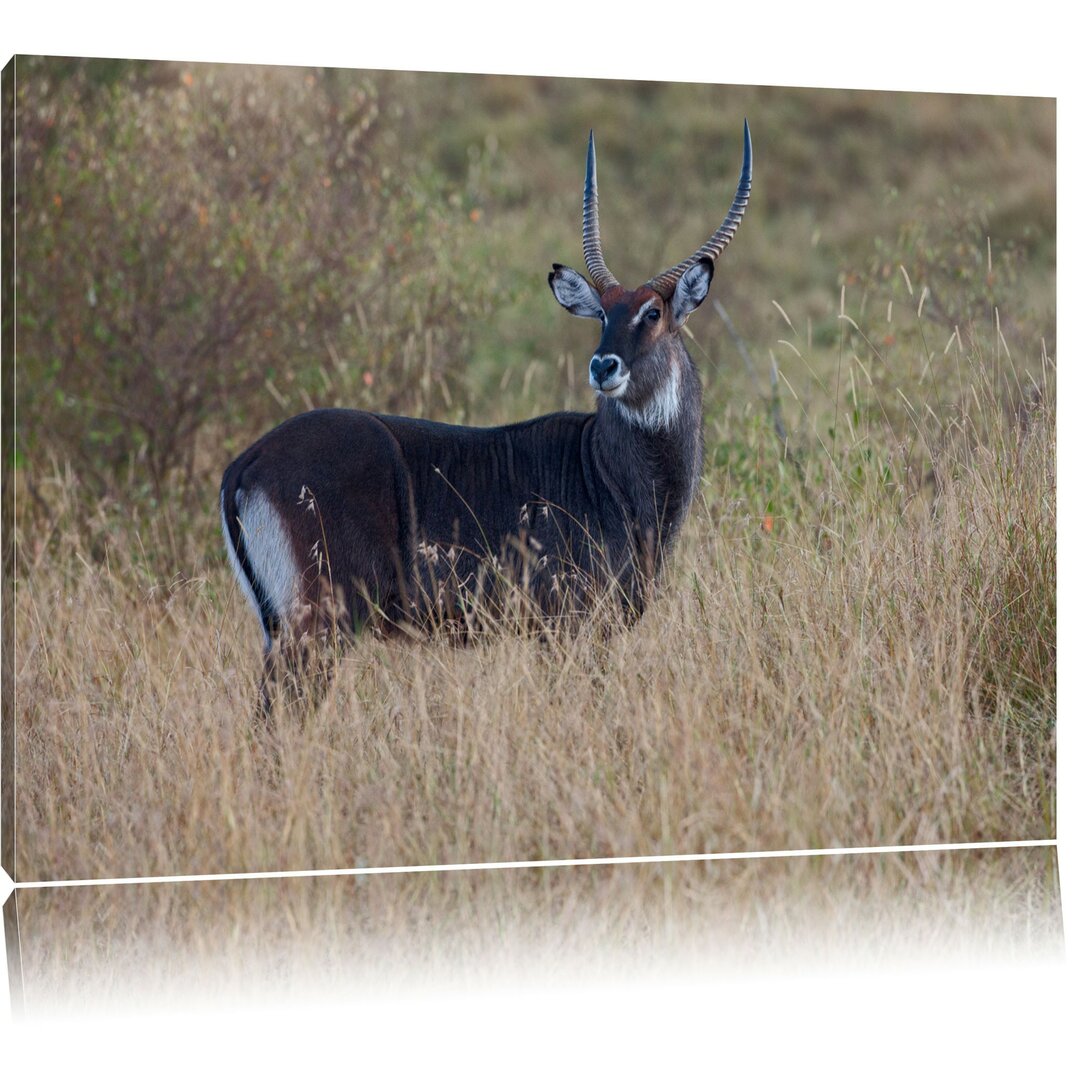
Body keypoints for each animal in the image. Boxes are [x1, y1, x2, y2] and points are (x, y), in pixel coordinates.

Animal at [219, 122, 751, 712]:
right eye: (603, 316)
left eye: (652, 313)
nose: (602, 365)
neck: (607, 472)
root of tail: (246, 463)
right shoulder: (569, 627)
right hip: (321, 621)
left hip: (282, 628)